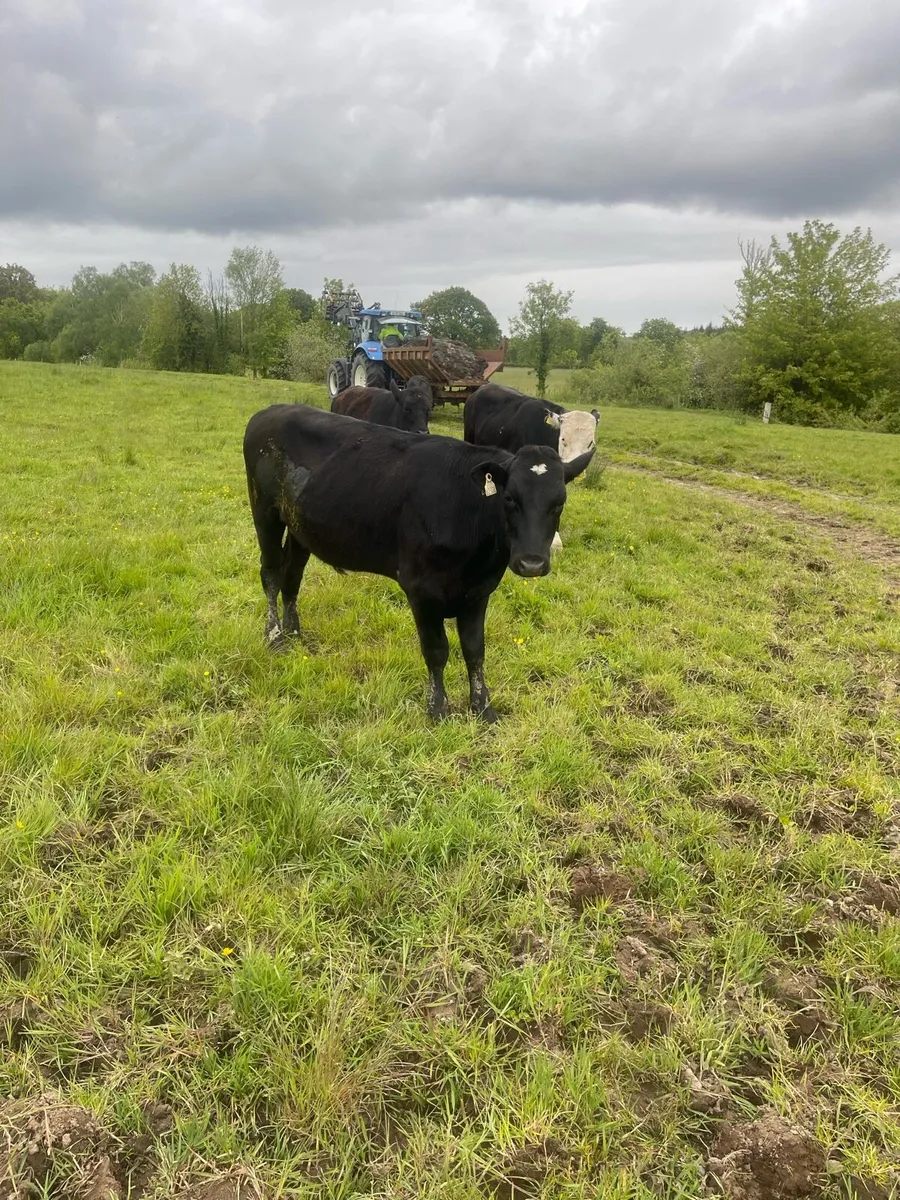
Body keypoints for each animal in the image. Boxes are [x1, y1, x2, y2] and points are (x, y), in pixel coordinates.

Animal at [243, 404, 594, 722]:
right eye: (509, 498)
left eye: (559, 502)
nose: (532, 563)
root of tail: (270, 411)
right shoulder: (421, 590)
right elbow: (437, 651)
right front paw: (437, 708)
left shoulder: (479, 591)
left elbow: (475, 651)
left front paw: (483, 707)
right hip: (265, 513)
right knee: (271, 574)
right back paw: (275, 636)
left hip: (300, 527)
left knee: (292, 576)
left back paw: (294, 631)